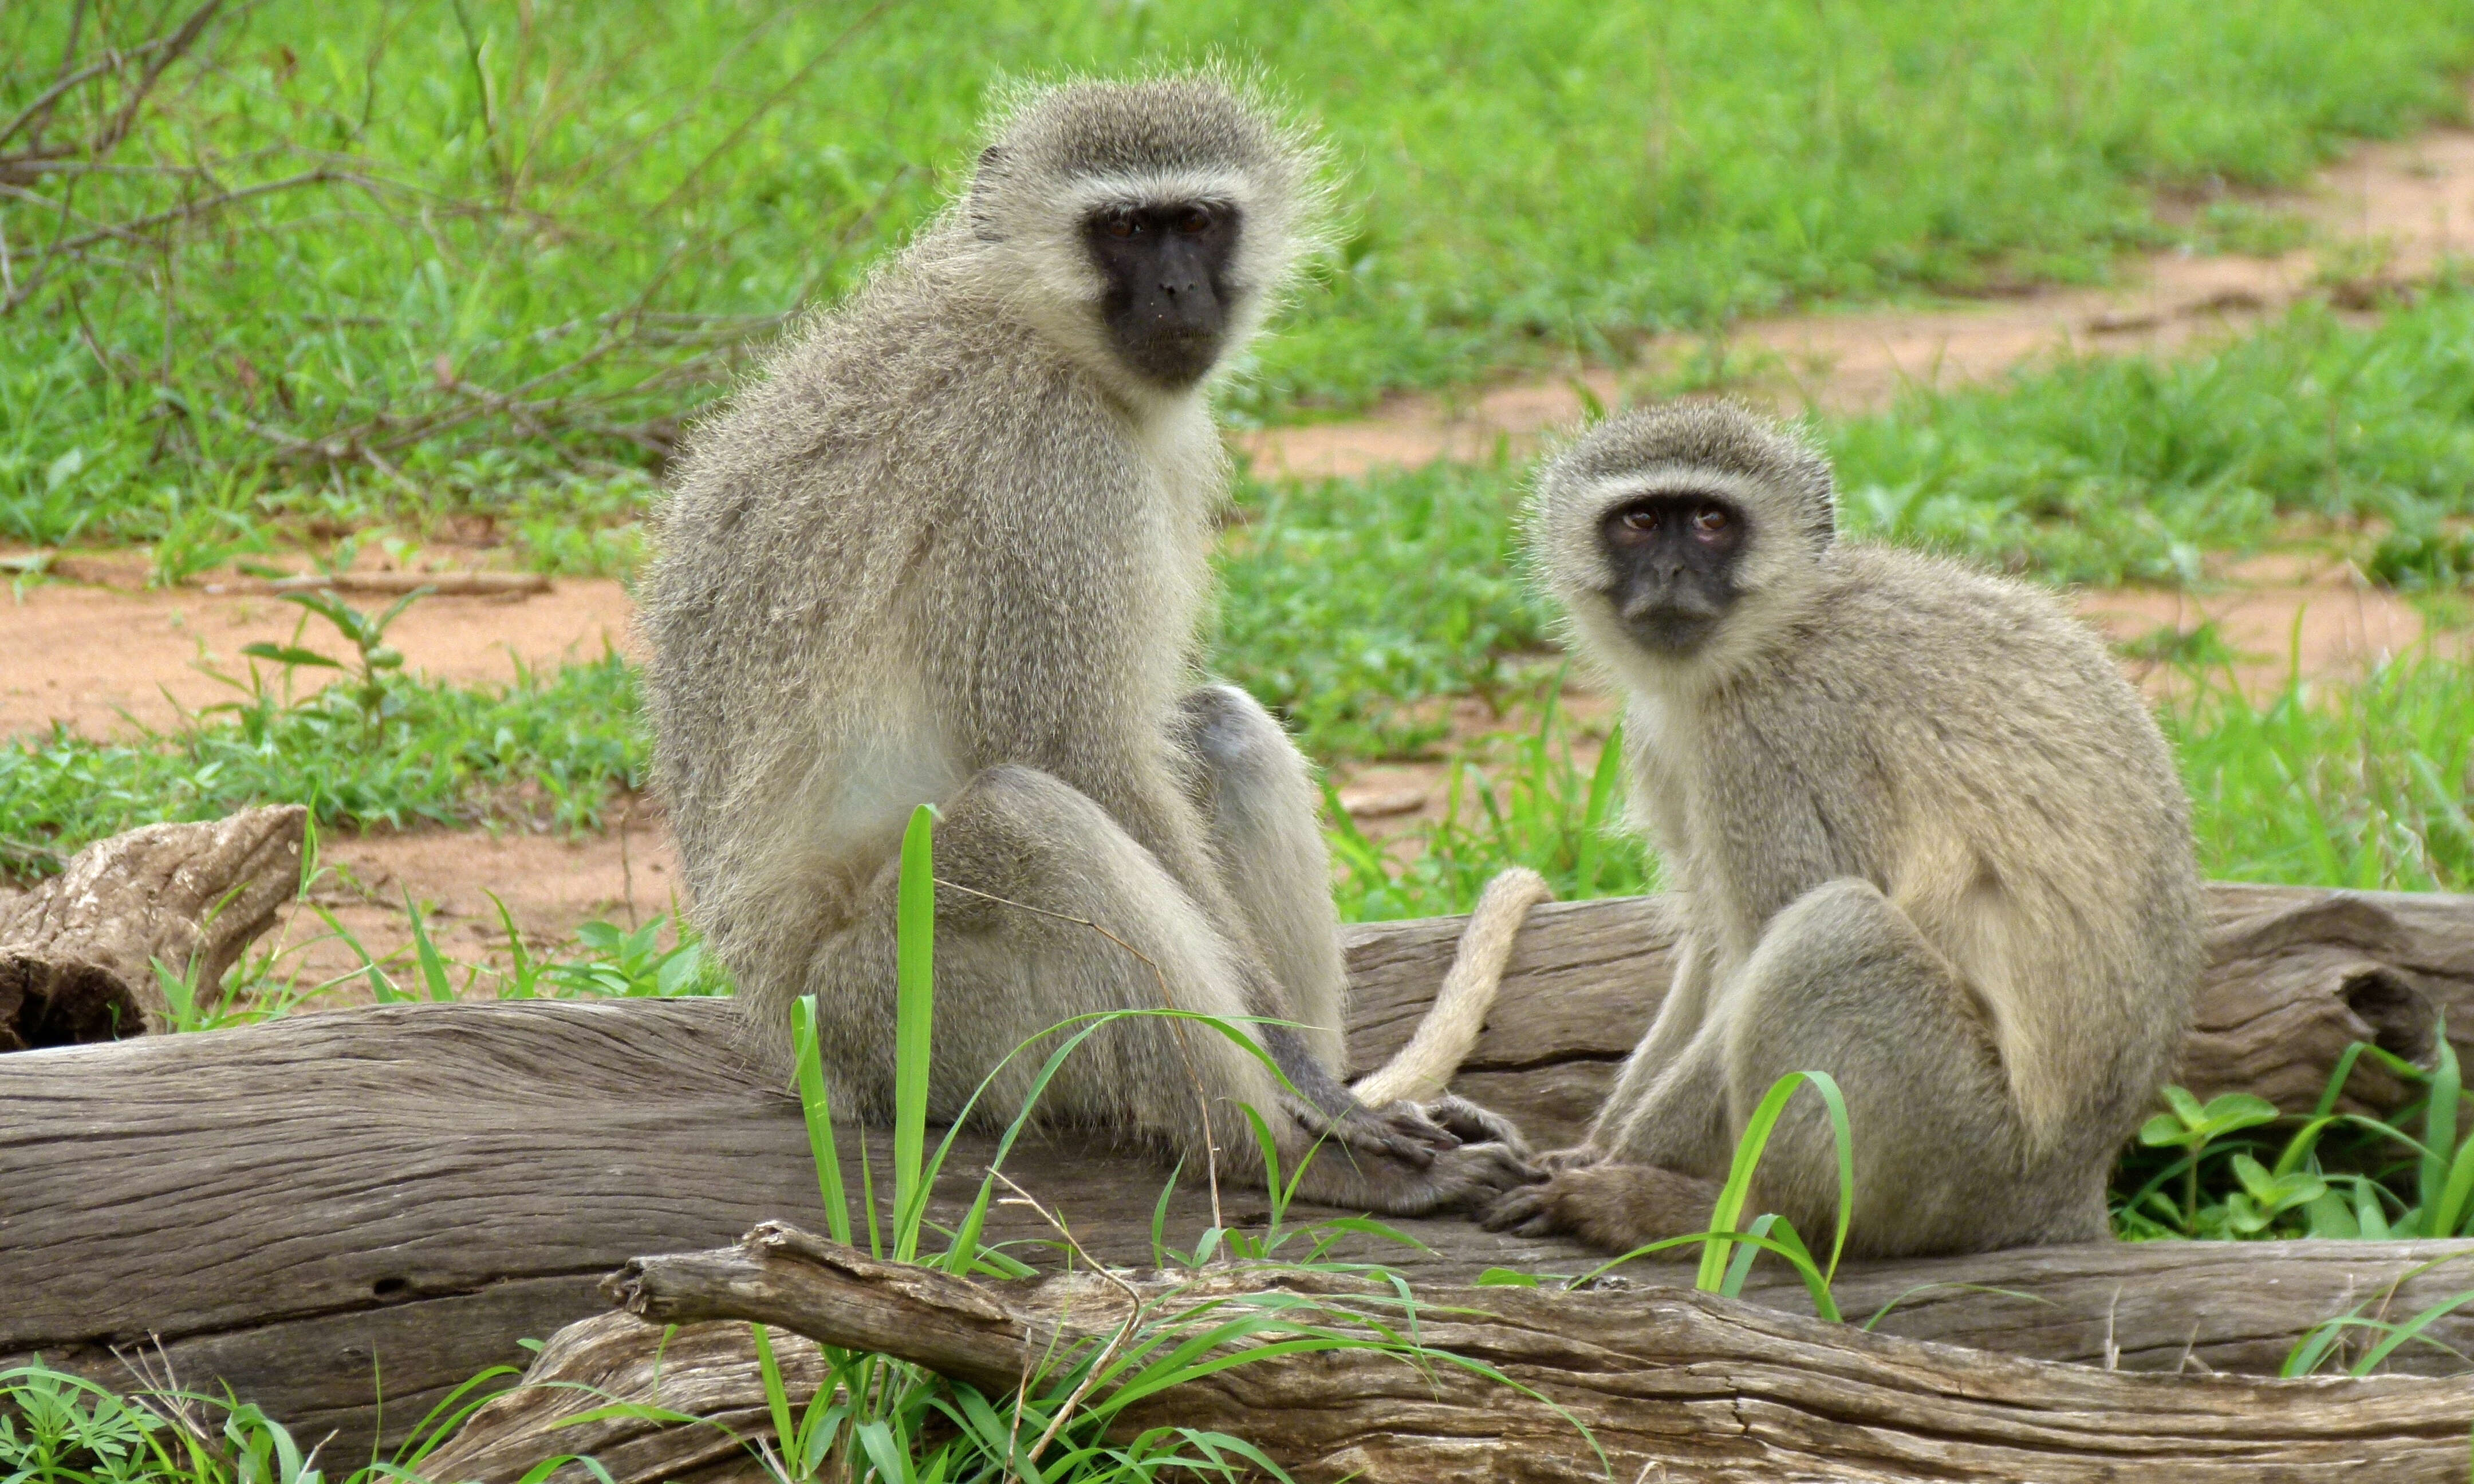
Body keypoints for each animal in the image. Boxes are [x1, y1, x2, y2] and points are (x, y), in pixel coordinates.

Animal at [643, 75, 1524, 1217]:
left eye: (1198, 221)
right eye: (1125, 230)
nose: (1179, 291)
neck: (1032, 319)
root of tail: (797, 1048)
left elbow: (1158, 742)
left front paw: (1331, 1083)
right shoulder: (1043, 468)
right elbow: (1079, 753)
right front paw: (1310, 1087)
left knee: (1218, 730)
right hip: (899, 1022)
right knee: (1032, 822)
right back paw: (1286, 1156)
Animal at [1484, 403, 2207, 1251]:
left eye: (1710, 522)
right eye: (1639, 522)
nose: (1669, 576)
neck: (1778, 630)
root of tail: (2071, 1189)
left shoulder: (1774, 738)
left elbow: (1755, 944)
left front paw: (1616, 1161)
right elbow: (1710, 946)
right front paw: (1594, 1146)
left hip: (1962, 1155)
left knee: (1834, 930)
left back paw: (1725, 1218)